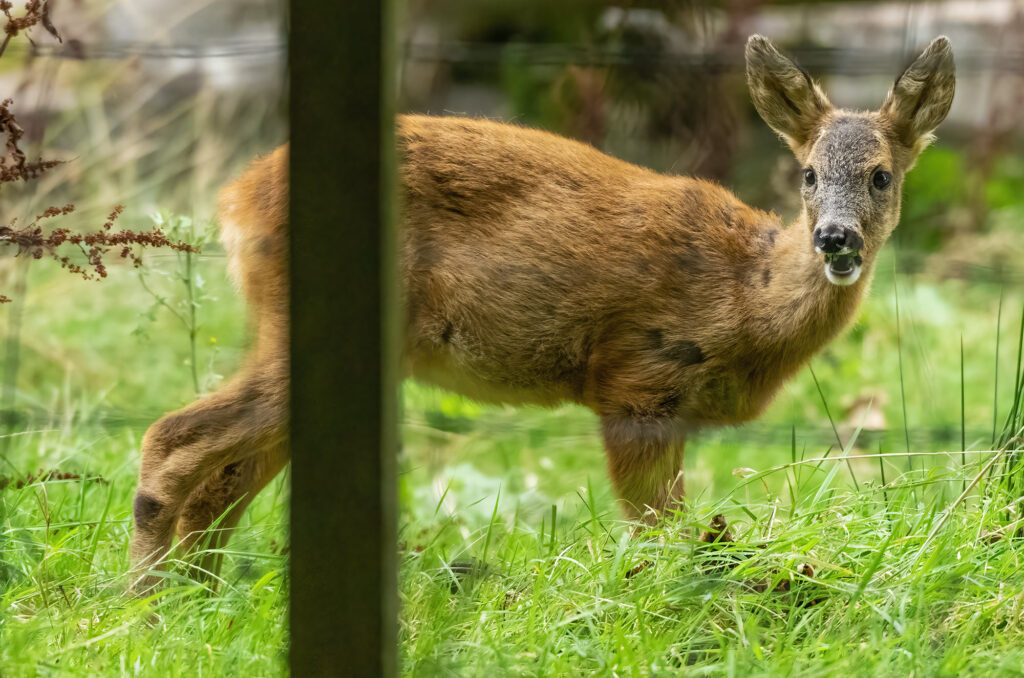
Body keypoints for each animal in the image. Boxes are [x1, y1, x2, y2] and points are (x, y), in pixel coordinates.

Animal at [125, 35, 950, 589]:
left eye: (880, 175)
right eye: (807, 173)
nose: (835, 238)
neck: (746, 296)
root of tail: (236, 199)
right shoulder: (636, 380)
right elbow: (657, 533)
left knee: (223, 482)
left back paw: (198, 600)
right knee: (173, 439)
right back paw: (145, 604)